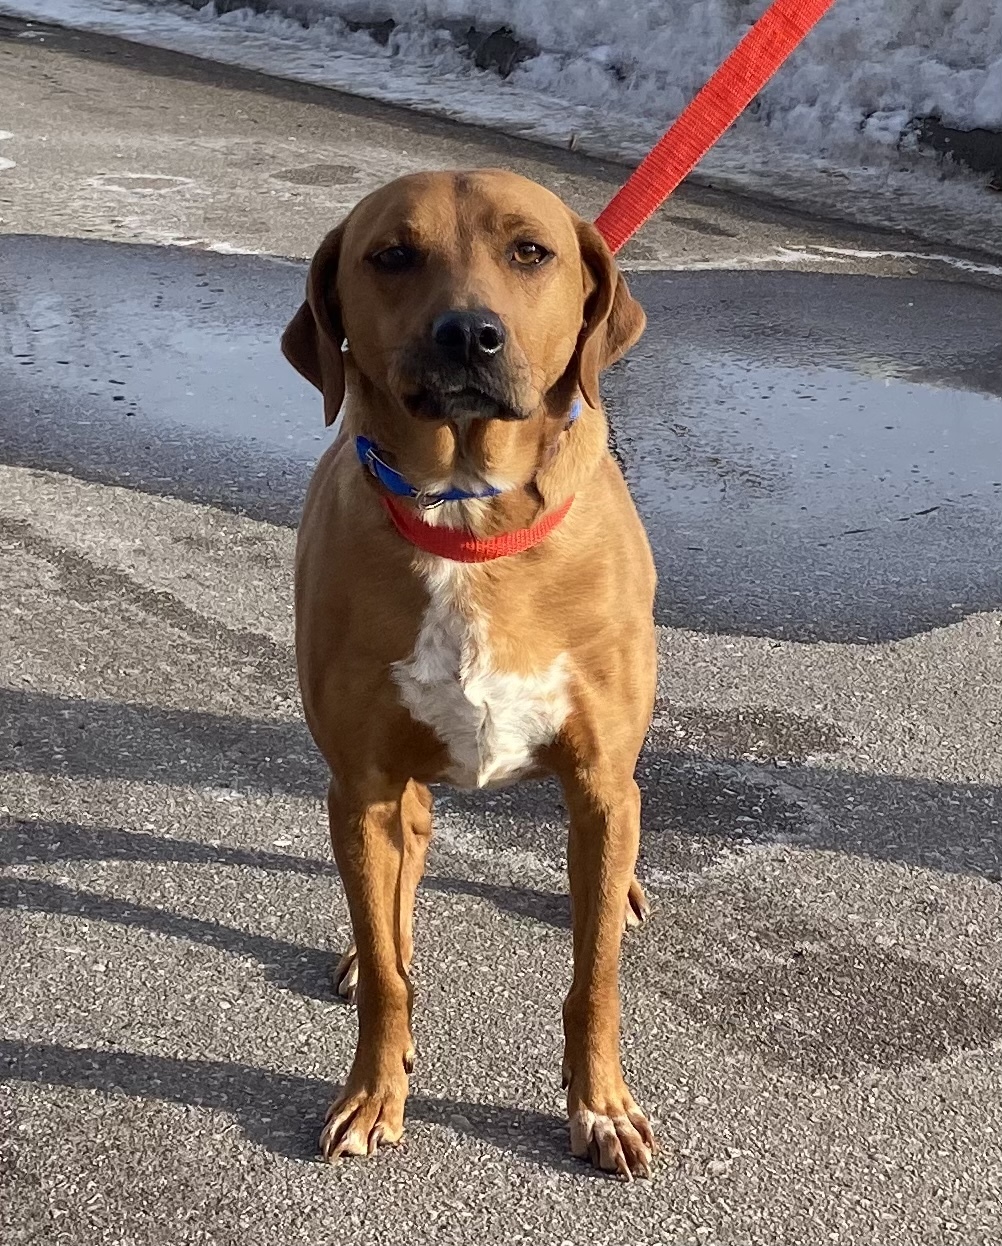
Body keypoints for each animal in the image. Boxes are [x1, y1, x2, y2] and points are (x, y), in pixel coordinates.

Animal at [281, 168, 658, 1176]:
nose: (469, 334)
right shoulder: (363, 783)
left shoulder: (600, 783)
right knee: (401, 874)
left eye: (531, 251)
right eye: (391, 255)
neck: (467, 519)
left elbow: (595, 977)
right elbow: (388, 971)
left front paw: (601, 1104)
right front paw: (373, 1091)